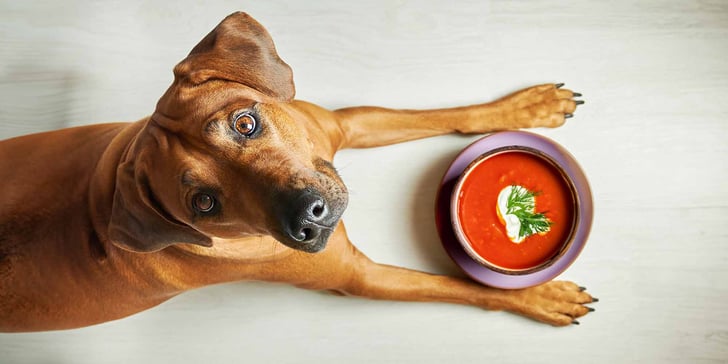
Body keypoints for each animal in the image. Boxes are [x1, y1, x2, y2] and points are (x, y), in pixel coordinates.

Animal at [0, 11, 592, 332]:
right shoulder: (362, 278)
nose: (308, 218)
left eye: (244, 123)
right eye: (204, 204)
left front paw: (526, 107)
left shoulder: (339, 125)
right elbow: (463, 288)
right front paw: (539, 297)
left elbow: (441, 115)